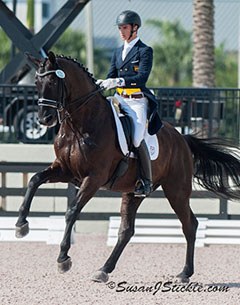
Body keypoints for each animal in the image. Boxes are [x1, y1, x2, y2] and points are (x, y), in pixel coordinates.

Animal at [15, 51, 240, 282]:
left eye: (52, 81)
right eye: (36, 82)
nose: (45, 119)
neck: (80, 125)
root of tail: (182, 139)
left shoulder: (93, 178)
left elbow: (72, 211)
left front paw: (63, 258)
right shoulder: (65, 170)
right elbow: (34, 180)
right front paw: (21, 225)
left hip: (176, 190)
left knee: (190, 225)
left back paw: (185, 273)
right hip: (133, 192)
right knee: (126, 231)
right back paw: (104, 270)